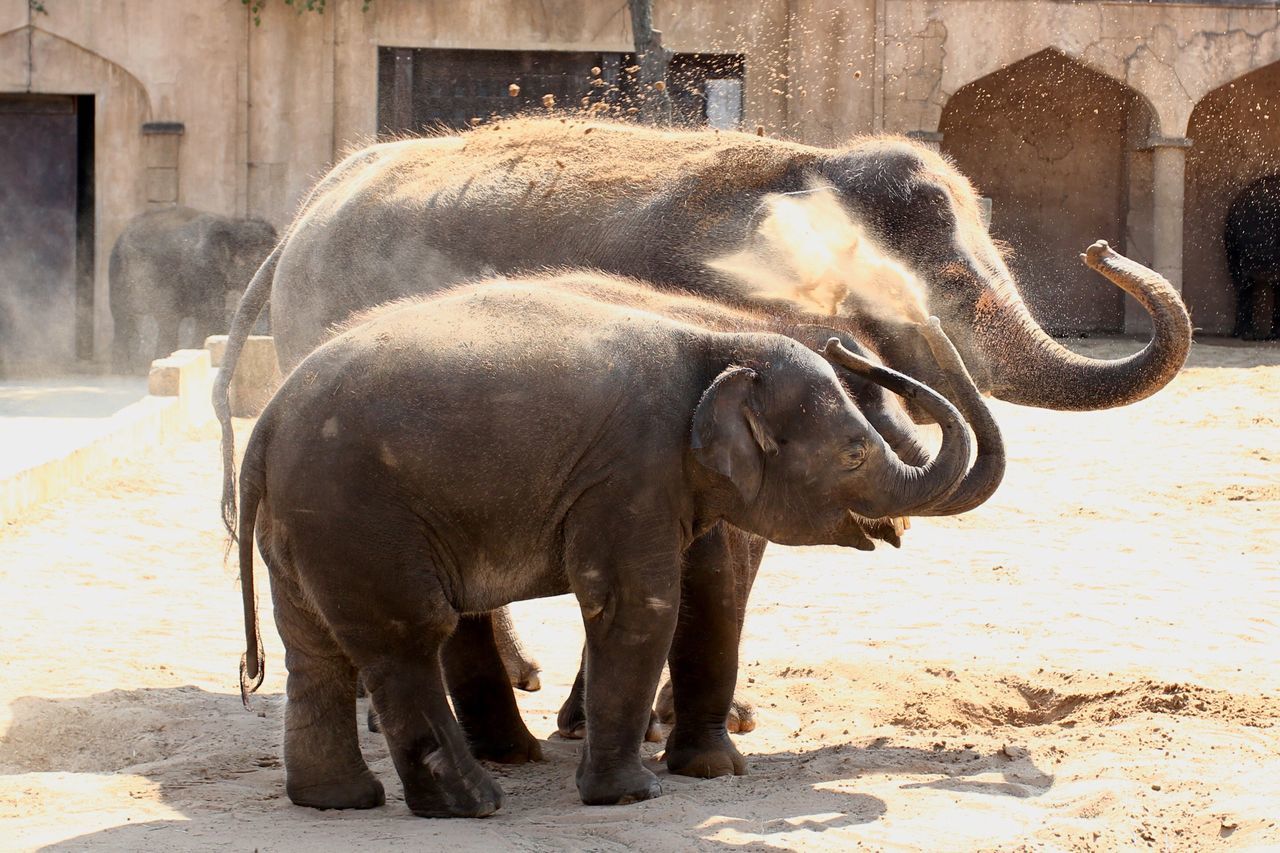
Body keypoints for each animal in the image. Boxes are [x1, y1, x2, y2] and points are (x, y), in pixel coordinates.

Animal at [238, 275, 967, 814]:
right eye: (853, 454)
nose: (848, 344)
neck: (715, 337)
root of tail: (266, 422)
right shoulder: (631, 469)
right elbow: (636, 603)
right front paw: (633, 795)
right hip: (359, 515)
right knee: (410, 634)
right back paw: (474, 803)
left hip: (309, 526)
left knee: (314, 648)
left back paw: (338, 800)